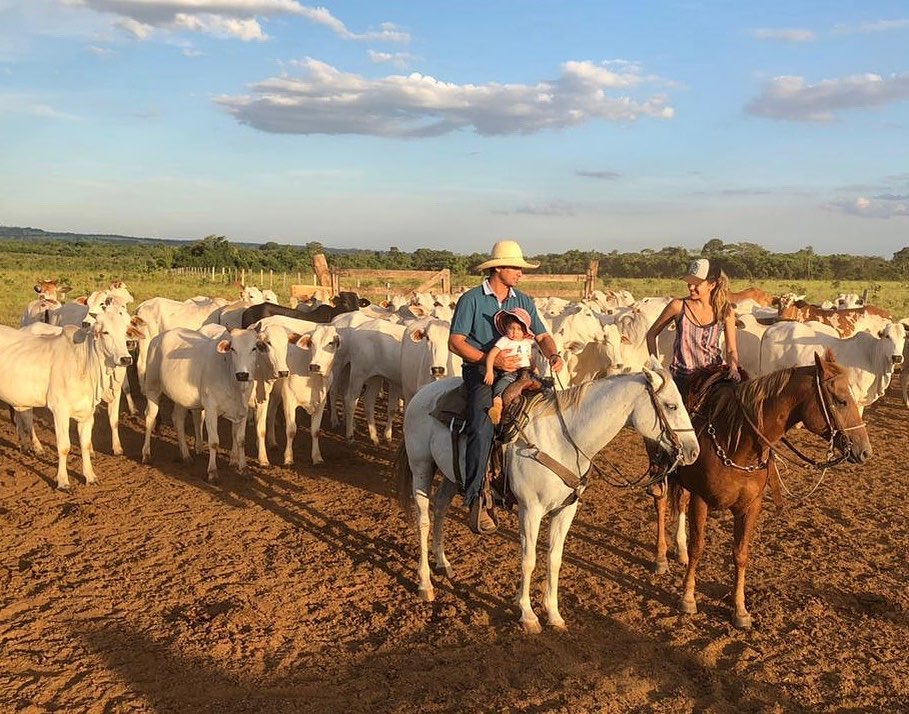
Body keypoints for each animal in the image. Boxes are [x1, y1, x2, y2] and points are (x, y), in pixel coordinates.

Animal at [0, 304, 133, 486]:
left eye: (125, 330)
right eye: (106, 332)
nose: (126, 359)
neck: (84, 363)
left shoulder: (87, 412)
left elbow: (85, 444)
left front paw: (90, 476)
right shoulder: (60, 410)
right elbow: (64, 447)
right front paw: (63, 481)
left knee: (25, 419)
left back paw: (30, 446)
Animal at [140, 326, 258, 478]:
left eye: (254, 348)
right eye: (233, 348)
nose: (242, 374)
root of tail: (158, 338)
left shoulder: (243, 409)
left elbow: (241, 440)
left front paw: (243, 468)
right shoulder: (210, 408)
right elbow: (214, 441)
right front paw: (212, 471)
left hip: (180, 397)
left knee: (178, 419)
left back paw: (186, 456)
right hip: (152, 387)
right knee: (150, 417)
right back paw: (146, 455)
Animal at [394, 354, 700, 628]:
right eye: (671, 405)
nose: (693, 452)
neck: (564, 439)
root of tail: (422, 393)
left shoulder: (565, 510)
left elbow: (554, 558)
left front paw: (553, 614)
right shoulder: (530, 510)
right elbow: (528, 559)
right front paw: (528, 614)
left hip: (451, 473)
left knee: (441, 509)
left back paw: (443, 563)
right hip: (422, 467)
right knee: (424, 520)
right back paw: (425, 583)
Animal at [652, 348, 864, 624]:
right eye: (840, 400)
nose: (865, 450)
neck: (736, 441)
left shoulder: (750, 507)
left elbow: (740, 554)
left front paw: (740, 609)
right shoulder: (702, 499)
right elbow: (699, 547)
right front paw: (688, 599)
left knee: (679, 503)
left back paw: (680, 551)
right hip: (661, 473)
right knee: (661, 504)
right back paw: (661, 558)